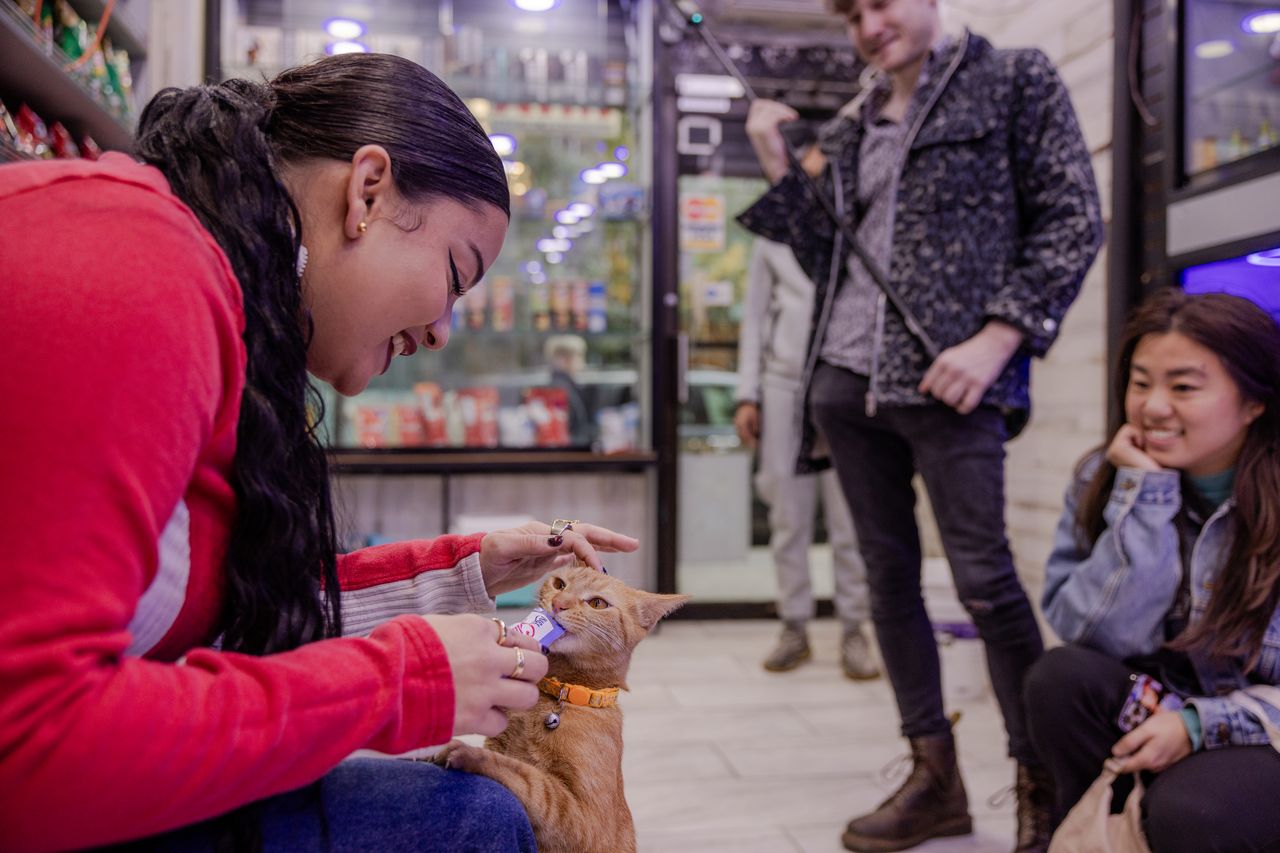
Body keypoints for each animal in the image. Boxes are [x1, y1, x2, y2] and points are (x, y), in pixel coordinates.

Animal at [432, 563, 691, 850]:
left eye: (598, 603)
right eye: (559, 585)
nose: (558, 604)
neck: (559, 693)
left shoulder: (585, 822)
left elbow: (530, 780)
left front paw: (467, 753)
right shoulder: (498, 743)